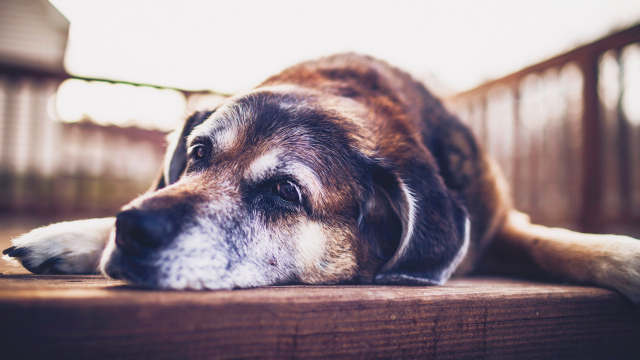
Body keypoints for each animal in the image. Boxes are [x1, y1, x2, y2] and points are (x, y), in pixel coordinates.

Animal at [3, 52, 640, 300]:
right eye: (199, 153)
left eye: (285, 191)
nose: (132, 230)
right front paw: (72, 237)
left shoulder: (503, 219)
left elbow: (556, 243)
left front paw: (626, 259)